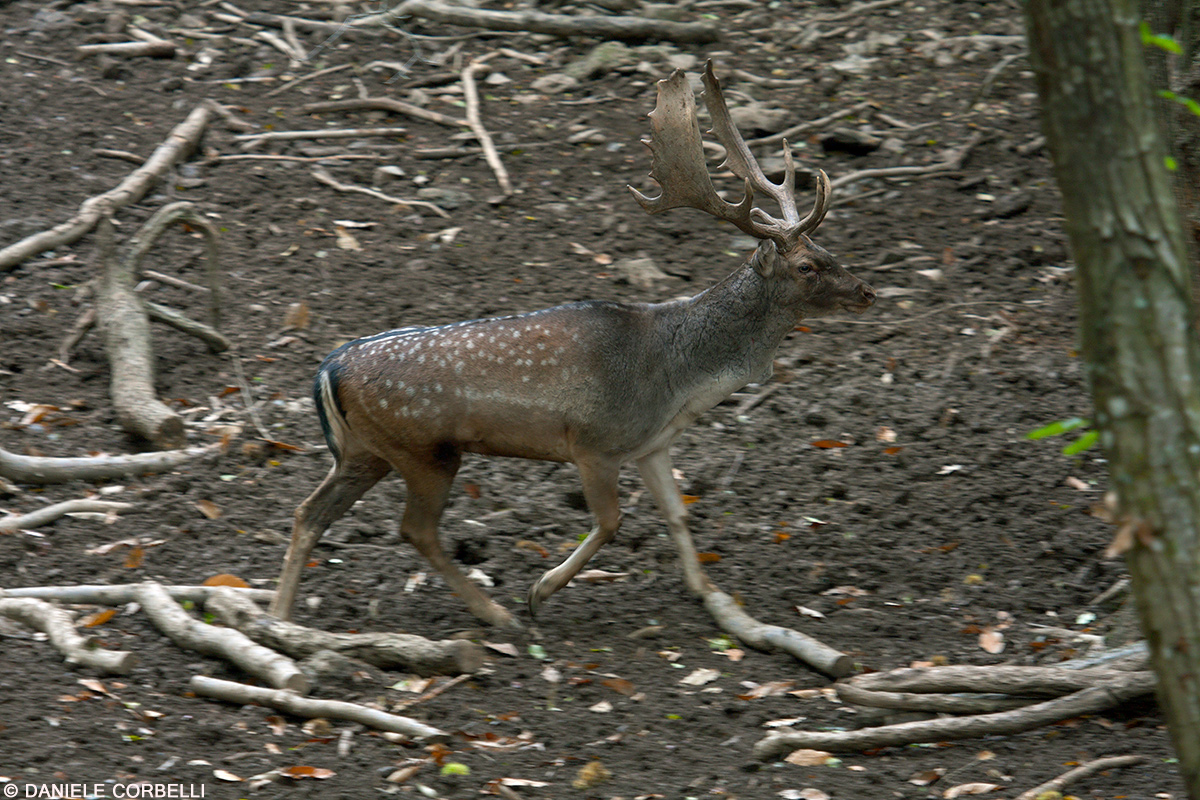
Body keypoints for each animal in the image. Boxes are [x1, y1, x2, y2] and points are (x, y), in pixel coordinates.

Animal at [270, 59, 873, 628]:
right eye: (807, 266)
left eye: (828, 250)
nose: (867, 291)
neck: (678, 380)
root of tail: (328, 369)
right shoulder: (594, 442)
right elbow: (611, 521)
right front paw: (540, 590)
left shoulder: (651, 444)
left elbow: (678, 514)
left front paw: (708, 592)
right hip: (424, 449)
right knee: (414, 528)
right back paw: (499, 615)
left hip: (366, 450)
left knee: (308, 512)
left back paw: (279, 617)